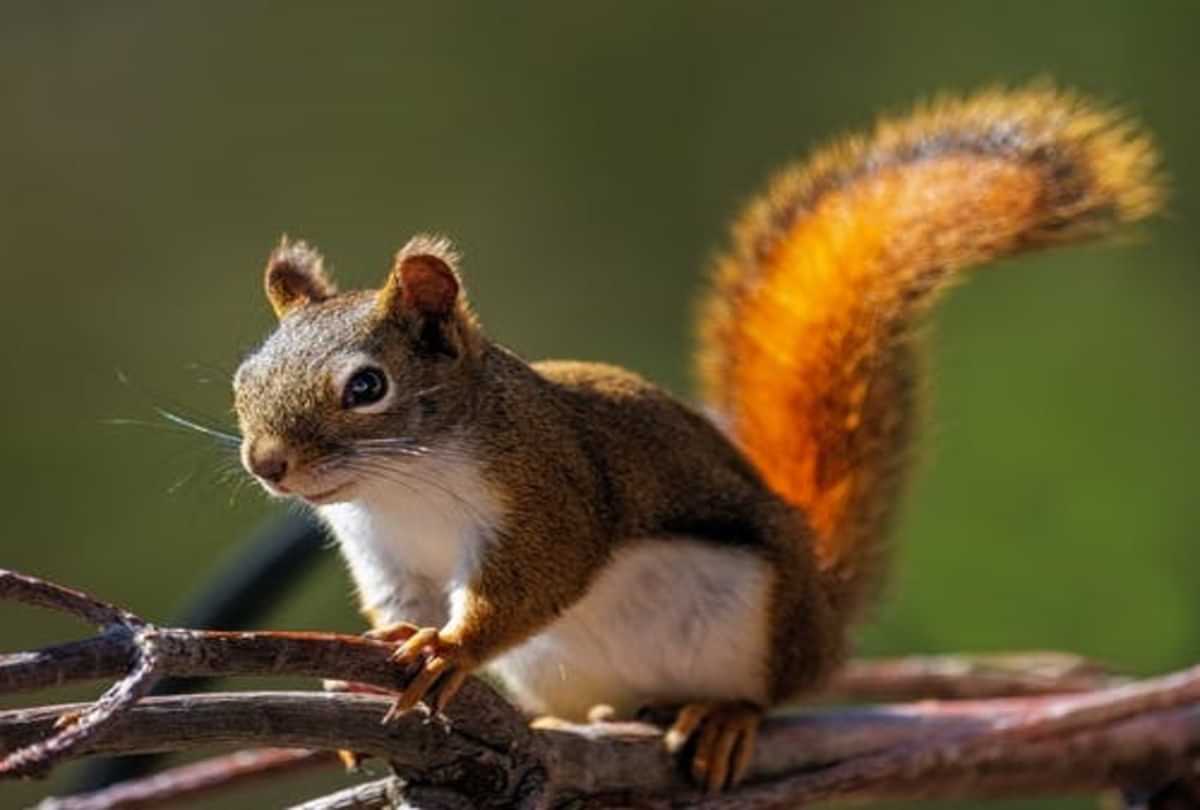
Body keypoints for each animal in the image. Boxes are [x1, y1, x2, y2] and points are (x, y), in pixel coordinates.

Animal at [231, 86, 1162, 792]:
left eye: (367, 388)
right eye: (243, 378)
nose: (268, 465)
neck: (400, 489)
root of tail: (823, 614)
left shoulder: (553, 492)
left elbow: (534, 583)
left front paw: (447, 647)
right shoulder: (388, 557)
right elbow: (399, 607)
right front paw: (358, 672)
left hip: (757, 622)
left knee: (765, 691)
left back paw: (719, 718)